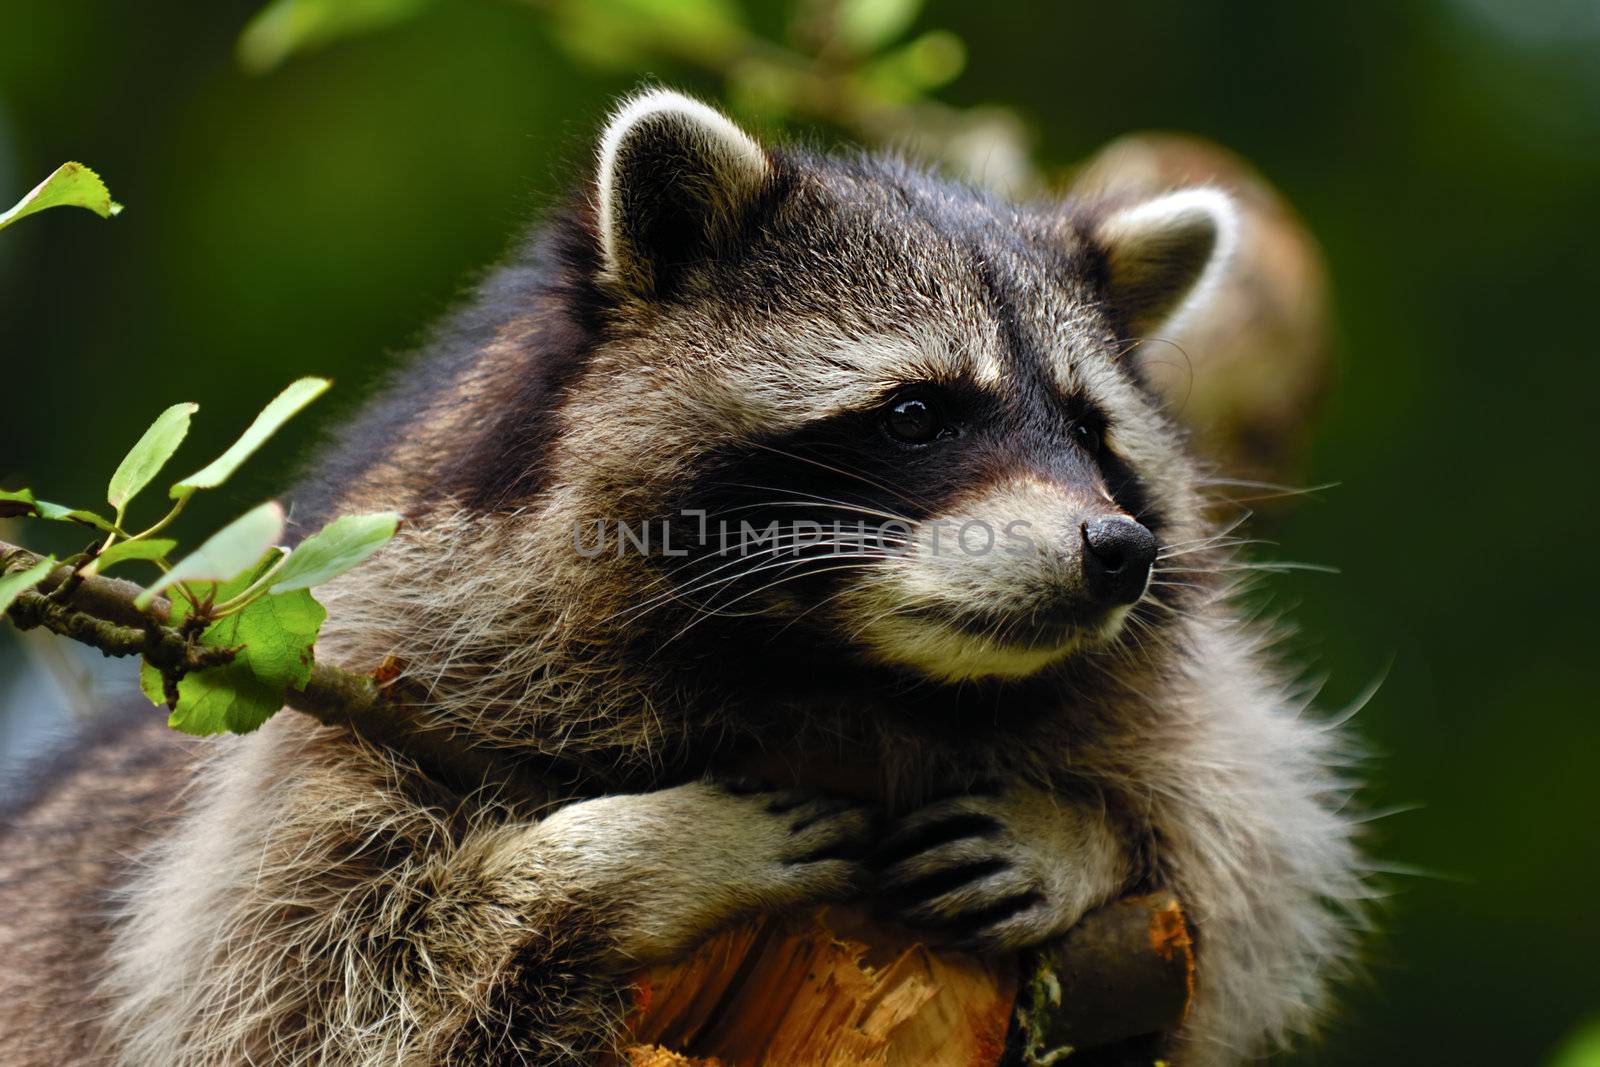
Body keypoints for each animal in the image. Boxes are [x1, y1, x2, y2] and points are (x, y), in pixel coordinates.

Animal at [0, 93, 1363, 1067]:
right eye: (917, 414)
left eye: (1088, 429)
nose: (1115, 551)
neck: (838, 668)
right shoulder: (339, 716)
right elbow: (302, 977)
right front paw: (616, 865)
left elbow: (1247, 846)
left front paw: (1084, 832)